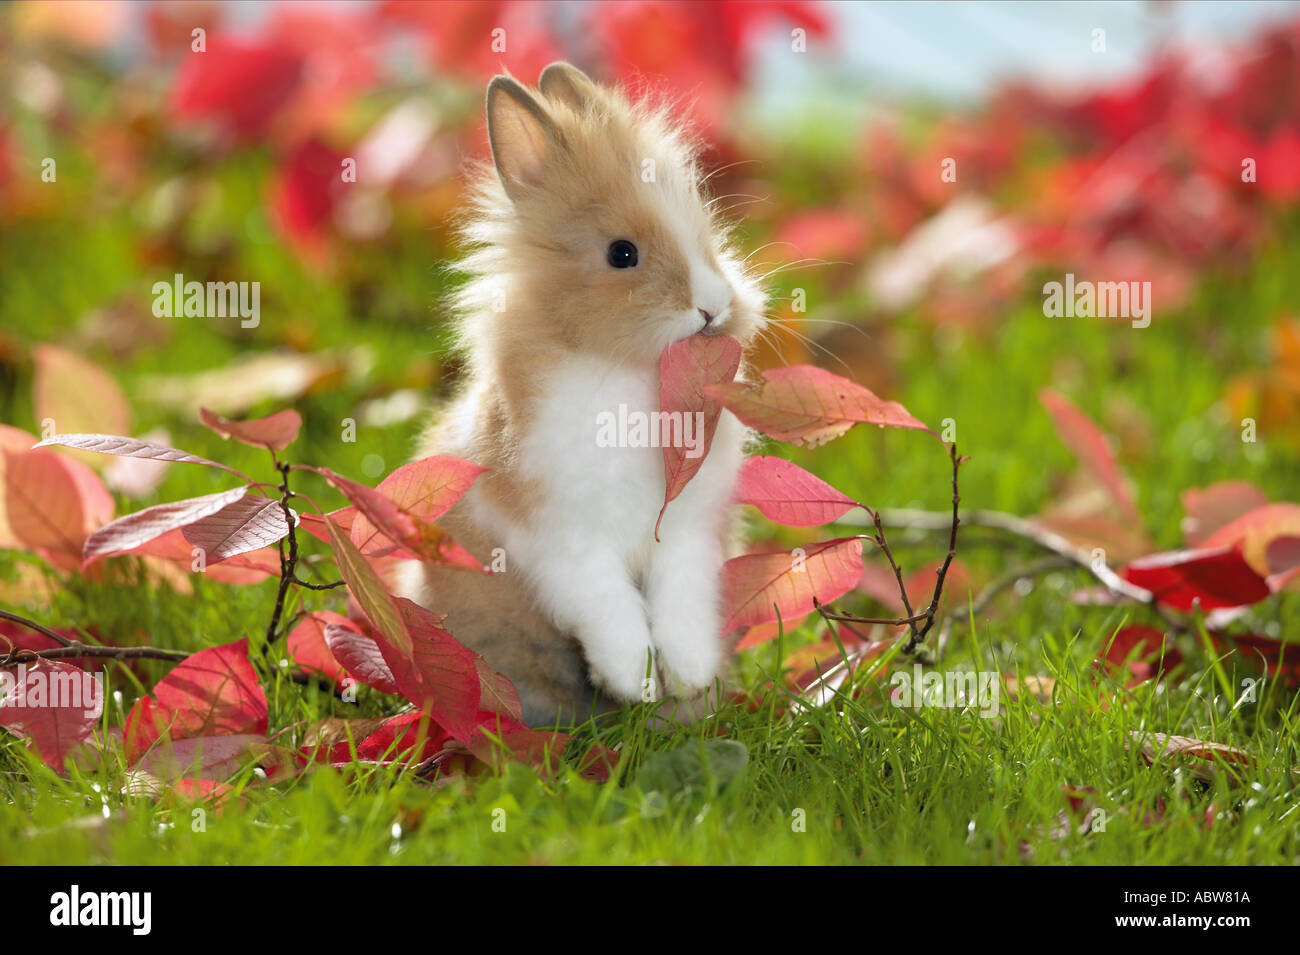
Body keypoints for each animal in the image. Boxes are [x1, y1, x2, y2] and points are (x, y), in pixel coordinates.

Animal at [393, 62, 767, 727]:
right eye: (622, 253)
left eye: (707, 239)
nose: (713, 308)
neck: (631, 378)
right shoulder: (560, 540)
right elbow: (609, 608)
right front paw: (634, 682)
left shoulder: (690, 529)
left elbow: (682, 604)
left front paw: (688, 676)